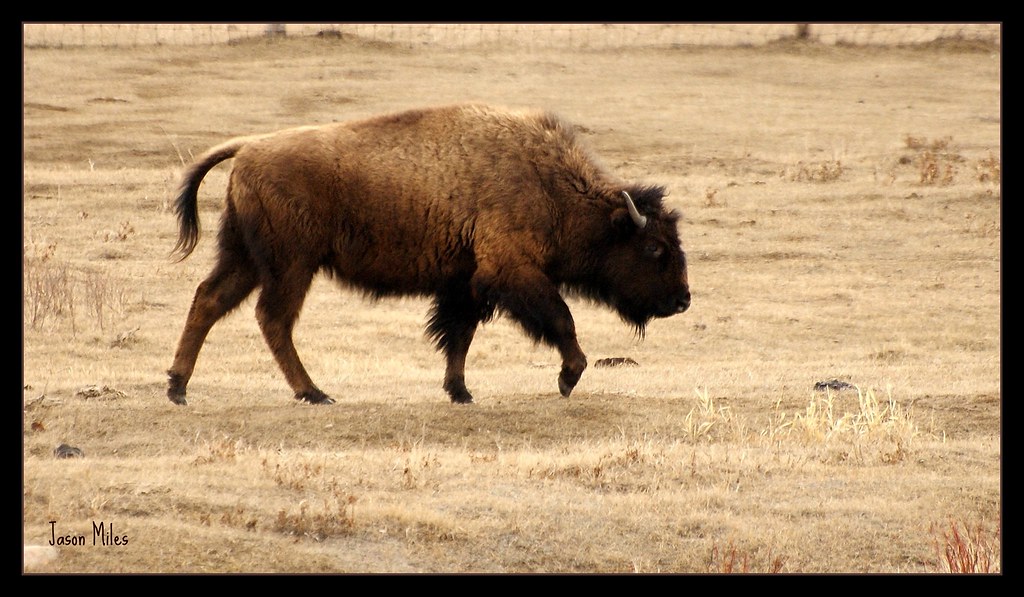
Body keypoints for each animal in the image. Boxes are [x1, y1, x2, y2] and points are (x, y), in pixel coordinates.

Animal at [167, 104, 690, 405]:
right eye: (654, 247)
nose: (683, 300)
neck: (548, 183)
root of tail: (247, 150)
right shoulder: (512, 271)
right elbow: (559, 318)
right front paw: (569, 377)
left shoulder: (467, 282)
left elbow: (458, 335)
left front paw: (460, 392)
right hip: (291, 265)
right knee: (272, 318)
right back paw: (313, 393)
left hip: (246, 258)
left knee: (209, 300)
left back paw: (178, 388)